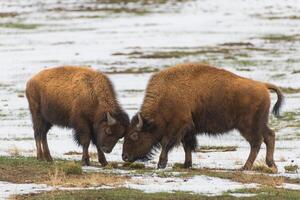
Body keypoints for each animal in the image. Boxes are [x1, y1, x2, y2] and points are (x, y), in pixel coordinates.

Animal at [122, 62, 284, 170]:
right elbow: (187, 146)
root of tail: (262, 85)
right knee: (269, 136)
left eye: (134, 135)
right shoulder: (188, 129)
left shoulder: (178, 126)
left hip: (248, 126)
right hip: (260, 123)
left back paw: (246, 167)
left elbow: (167, 143)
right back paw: (271, 165)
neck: (166, 95)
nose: (124, 157)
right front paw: (187, 164)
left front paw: (161, 164)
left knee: (256, 142)